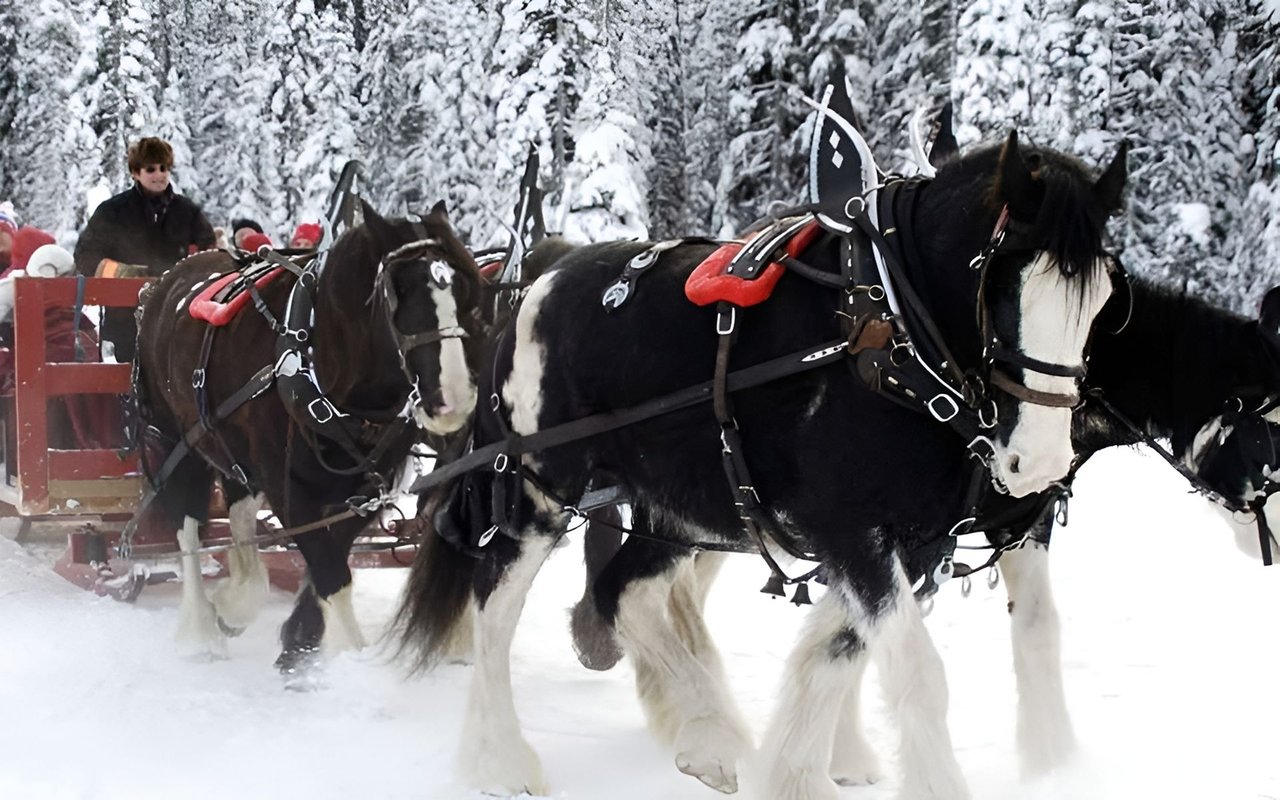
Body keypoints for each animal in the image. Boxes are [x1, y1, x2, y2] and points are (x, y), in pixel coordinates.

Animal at [134, 200, 484, 673]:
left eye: (467, 293)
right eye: (399, 291)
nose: (454, 399)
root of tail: (164, 281)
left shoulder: (361, 491)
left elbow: (329, 560)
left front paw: (298, 639)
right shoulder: (290, 490)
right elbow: (331, 571)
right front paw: (349, 658)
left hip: (229, 447)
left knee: (239, 510)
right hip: (178, 443)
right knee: (186, 526)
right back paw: (202, 631)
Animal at [394, 132, 1125, 799]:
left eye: (1103, 301)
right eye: (1001, 284)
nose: (1040, 461)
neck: (888, 329)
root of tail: (536, 284)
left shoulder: (927, 539)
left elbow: (851, 650)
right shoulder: (854, 531)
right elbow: (914, 672)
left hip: (676, 507)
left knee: (624, 592)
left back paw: (712, 740)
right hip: (538, 494)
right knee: (495, 609)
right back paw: (501, 761)